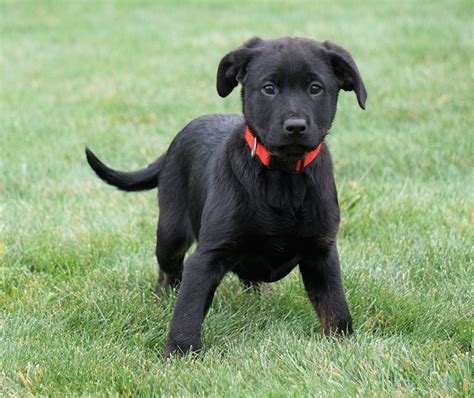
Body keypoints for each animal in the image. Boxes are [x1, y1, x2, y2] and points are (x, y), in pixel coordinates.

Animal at [85, 36, 366, 358]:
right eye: (269, 88)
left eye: (315, 88)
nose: (295, 126)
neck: (282, 176)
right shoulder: (208, 254)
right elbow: (188, 308)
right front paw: (179, 352)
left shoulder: (321, 251)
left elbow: (335, 306)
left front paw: (342, 344)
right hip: (170, 231)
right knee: (169, 272)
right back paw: (161, 300)